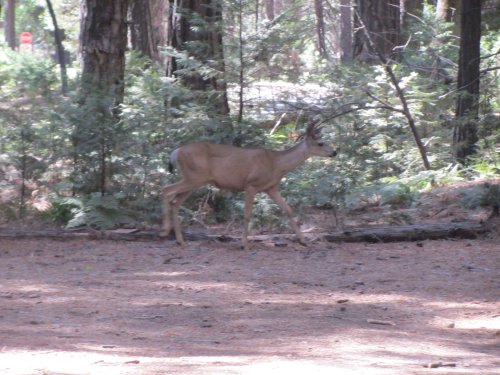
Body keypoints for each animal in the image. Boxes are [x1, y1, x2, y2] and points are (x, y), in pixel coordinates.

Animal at [162, 123, 338, 251]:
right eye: (320, 143)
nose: (335, 152)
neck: (277, 164)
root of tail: (176, 152)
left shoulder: (271, 188)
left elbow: (288, 210)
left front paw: (303, 241)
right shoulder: (251, 185)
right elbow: (247, 214)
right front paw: (244, 244)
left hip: (194, 180)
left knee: (175, 201)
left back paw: (180, 241)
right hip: (194, 177)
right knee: (166, 190)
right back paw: (165, 230)